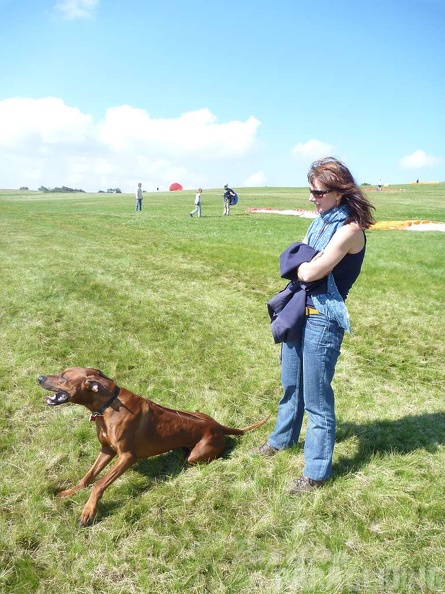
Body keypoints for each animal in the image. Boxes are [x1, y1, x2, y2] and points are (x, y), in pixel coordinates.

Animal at [38, 366, 268, 524]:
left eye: (63, 377)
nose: (39, 377)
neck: (107, 405)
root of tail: (217, 425)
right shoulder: (107, 450)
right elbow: (88, 477)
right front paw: (70, 492)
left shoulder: (127, 456)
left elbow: (99, 484)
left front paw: (88, 511)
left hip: (197, 456)